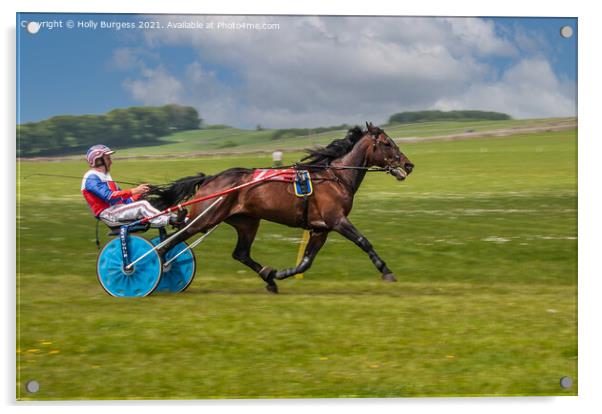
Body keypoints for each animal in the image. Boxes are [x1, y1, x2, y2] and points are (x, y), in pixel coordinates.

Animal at [148, 121, 414, 292]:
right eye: (387, 143)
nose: (409, 165)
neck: (335, 177)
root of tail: (210, 179)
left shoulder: (321, 228)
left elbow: (306, 261)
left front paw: (280, 273)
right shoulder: (336, 220)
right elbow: (363, 241)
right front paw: (386, 271)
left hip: (247, 222)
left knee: (241, 253)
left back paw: (269, 278)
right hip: (205, 218)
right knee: (168, 243)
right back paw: (154, 266)